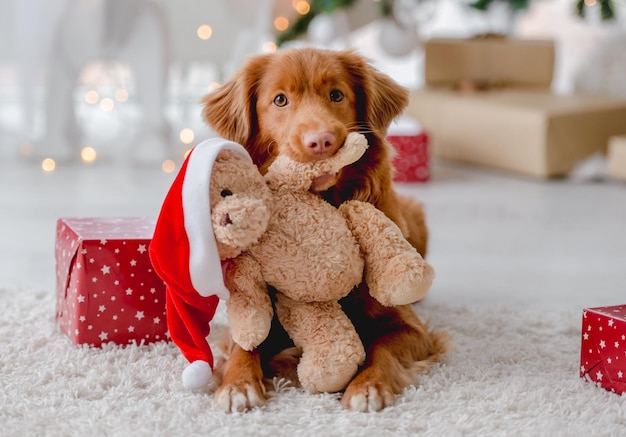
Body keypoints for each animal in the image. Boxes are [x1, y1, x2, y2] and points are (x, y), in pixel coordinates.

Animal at [200, 47, 444, 412]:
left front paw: (367, 386)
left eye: (336, 95)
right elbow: (246, 345)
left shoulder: (411, 327)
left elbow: (383, 349)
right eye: (280, 100)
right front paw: (238, 383)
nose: (321, 141)